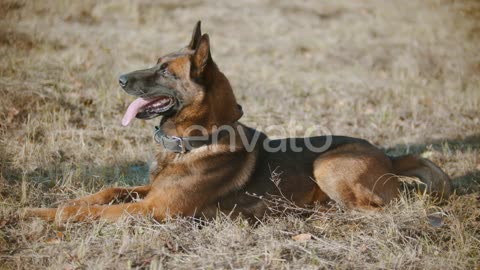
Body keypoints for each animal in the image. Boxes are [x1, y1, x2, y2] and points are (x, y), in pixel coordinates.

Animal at [23, 22, 450, 223]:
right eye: (155, 62)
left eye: (164, 71)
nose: (120, 79)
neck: (196, 141)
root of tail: (390, 157)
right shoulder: (150, 193)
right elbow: (106, 191)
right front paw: (46, 208)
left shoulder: (154, 209)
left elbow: (92, 212)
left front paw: (50, 217)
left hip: (327, 164)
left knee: (379, 209)